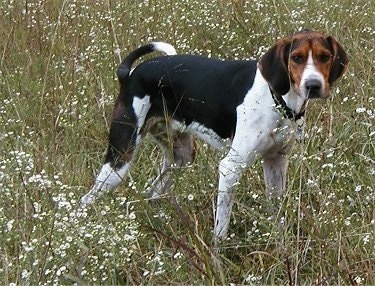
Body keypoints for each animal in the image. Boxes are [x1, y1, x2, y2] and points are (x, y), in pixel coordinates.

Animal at [81, 29, 348, 240]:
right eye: (296, 58)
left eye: (324, 57)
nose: (313, 86)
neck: (278, 97)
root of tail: (130, 74)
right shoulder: (231, 168)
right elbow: (221, 227)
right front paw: (219, 259)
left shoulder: (276, 161)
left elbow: (276, 212)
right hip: (120, 160)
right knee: (87, 200)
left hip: (181, 157)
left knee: (153, 191)